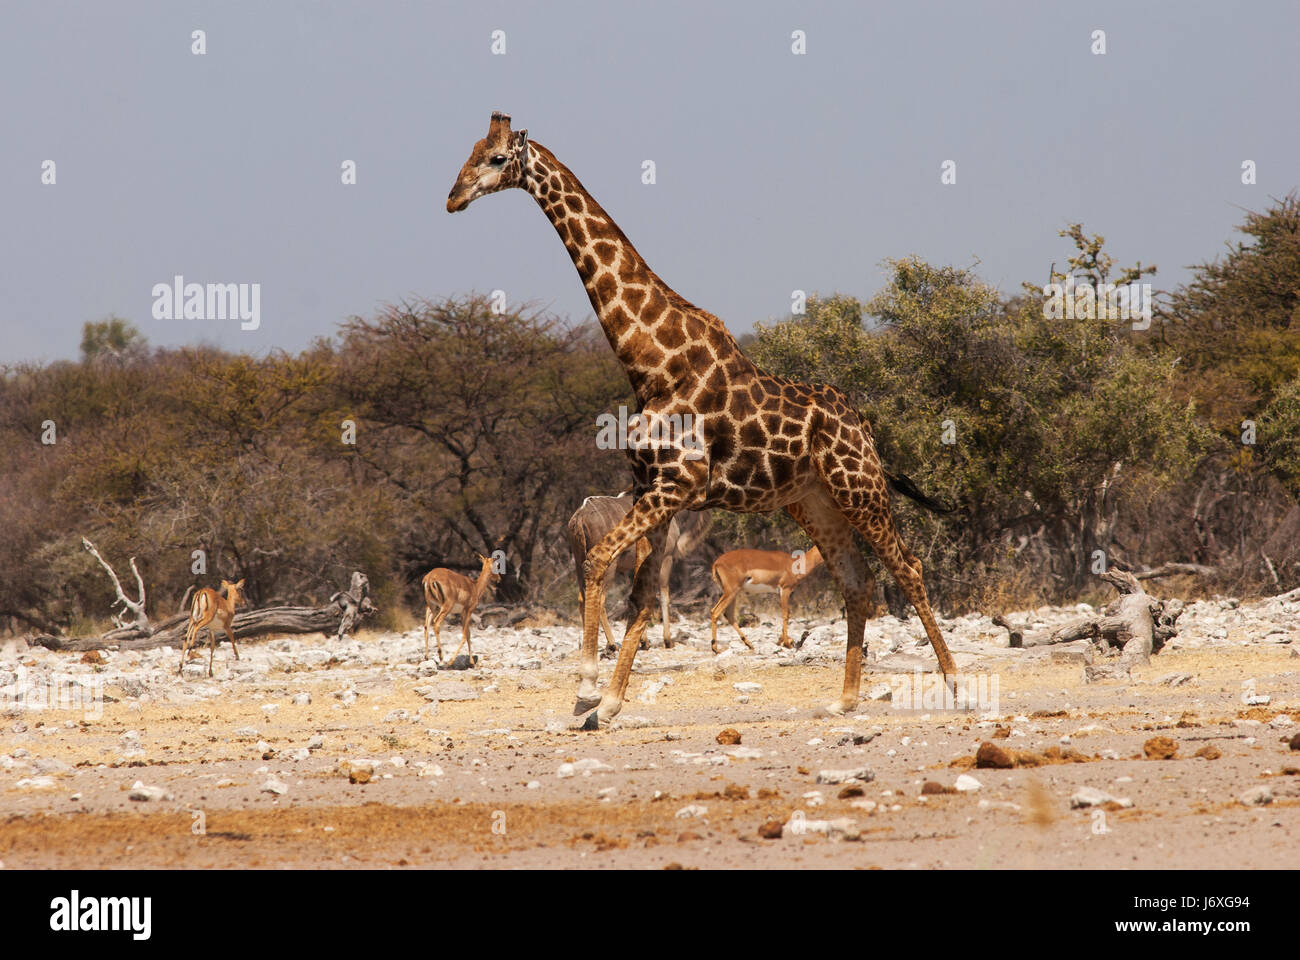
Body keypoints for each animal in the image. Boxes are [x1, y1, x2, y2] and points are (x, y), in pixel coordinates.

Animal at [447, 113, 956, 723]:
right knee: (858, 583)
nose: (453, 198)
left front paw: (588, 687)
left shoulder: (677, 486)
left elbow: (599, 563)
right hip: (813, 502)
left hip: (860, 488)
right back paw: (845, 700)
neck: (650, 362)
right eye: (470, 152)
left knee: (909, 567)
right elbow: (639, 594)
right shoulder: (652, 489)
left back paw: (954, 683)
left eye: (498, 158)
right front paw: (609, 704)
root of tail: (865, 425)